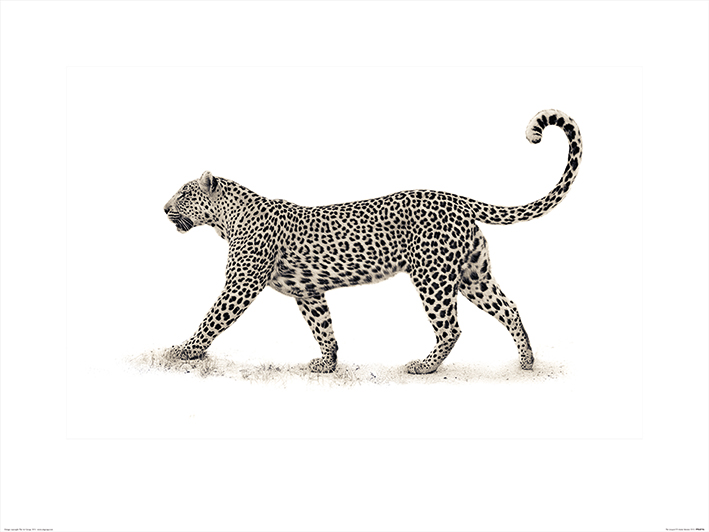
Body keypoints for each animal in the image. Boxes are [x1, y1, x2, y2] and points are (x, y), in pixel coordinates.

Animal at [163, 109, 582, 375]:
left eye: (183, 193)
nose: (164, 207)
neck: (227, 218)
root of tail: (456, 198)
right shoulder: (308, 292)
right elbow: (323, 328)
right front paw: (327, 364)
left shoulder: (242, 284)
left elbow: (212, 318)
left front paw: (184, 350)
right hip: (472, 274)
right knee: (509, 307)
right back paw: (526, 361)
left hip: (433, 276)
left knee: (451, 327)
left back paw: (424, 367)